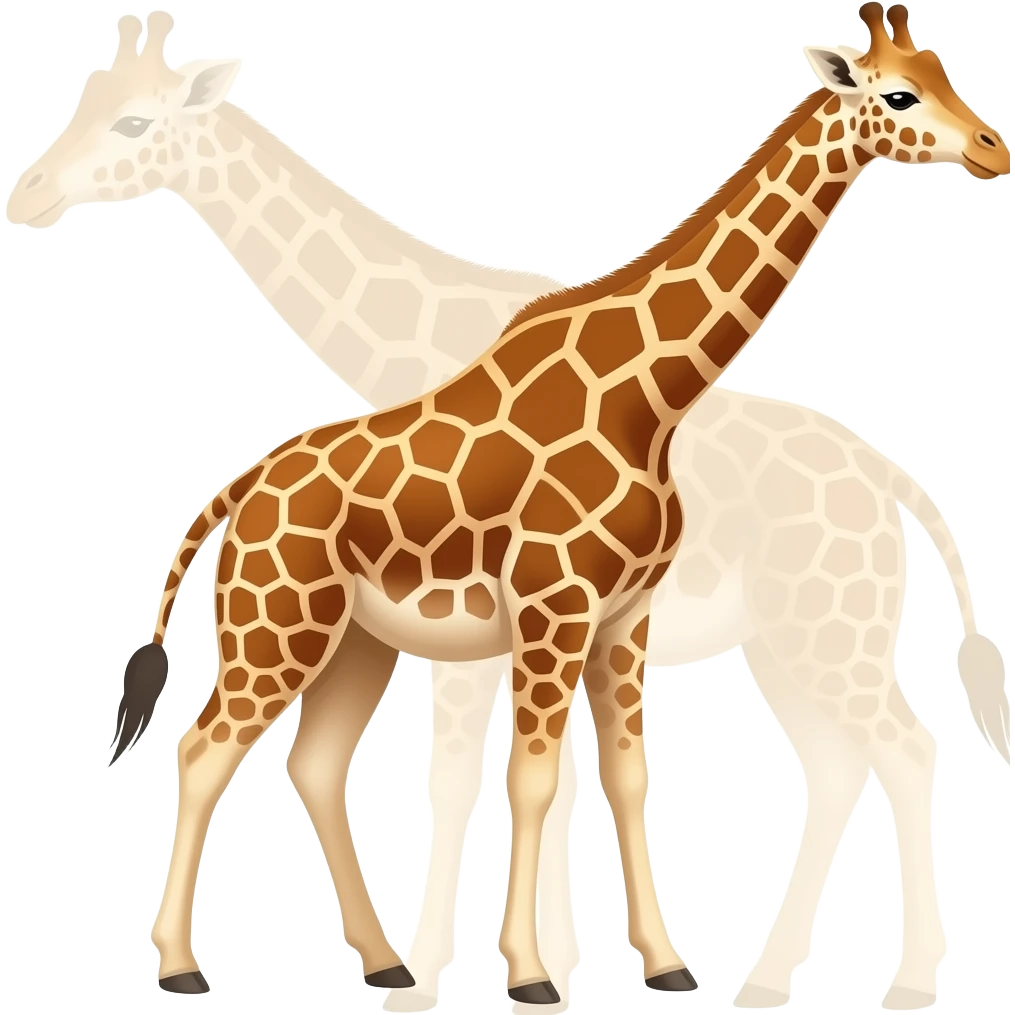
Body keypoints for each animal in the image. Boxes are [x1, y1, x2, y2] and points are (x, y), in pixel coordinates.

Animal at [100, 2, 1010, 1005]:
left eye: (942, 72)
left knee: (313, 762)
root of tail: (237, 491)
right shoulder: (551, 607)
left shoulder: (621, 614)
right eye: (898, 94)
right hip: (281, 625)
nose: (992, 149)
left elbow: (622, 774)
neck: (649, 397)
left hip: (365, 639)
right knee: (205, 750)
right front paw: (533, 973)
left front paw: (661, 961)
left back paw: (389, 961)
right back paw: (185, 964)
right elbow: (530, 777)